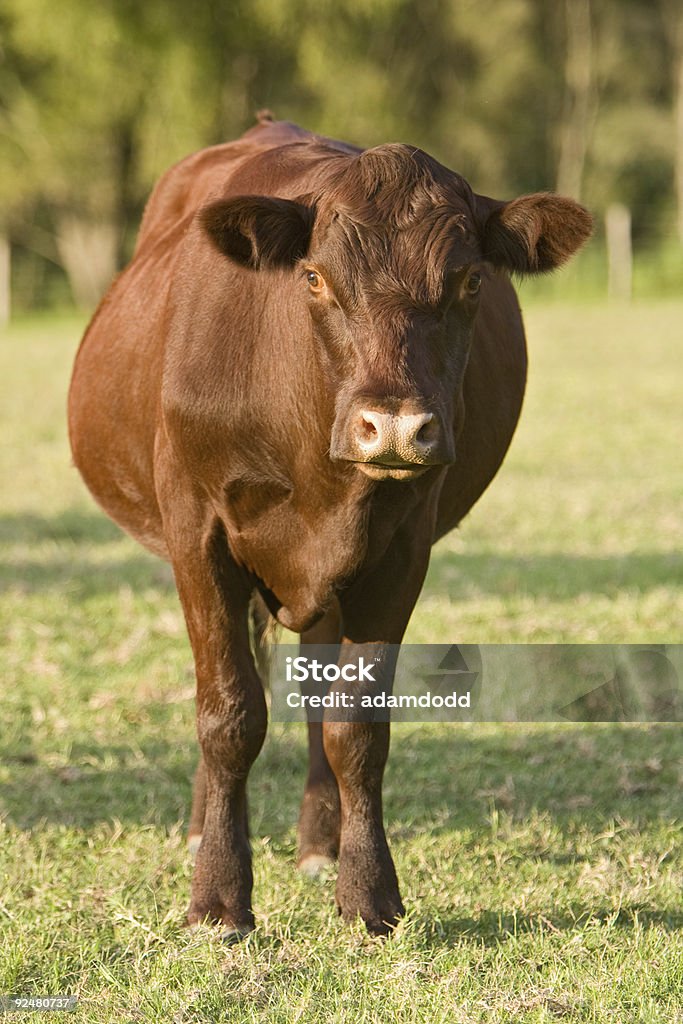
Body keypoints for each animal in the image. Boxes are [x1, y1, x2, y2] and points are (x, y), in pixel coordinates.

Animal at [69, 112, 593, 937]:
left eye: (471, 281)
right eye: (314, 277)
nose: (395, 427)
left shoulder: (401, 550)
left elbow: (357, 726)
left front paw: (368, 892)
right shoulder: (197, 536)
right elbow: (228, 712)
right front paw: (218, 899)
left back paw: (319, 841)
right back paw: (203, 831)